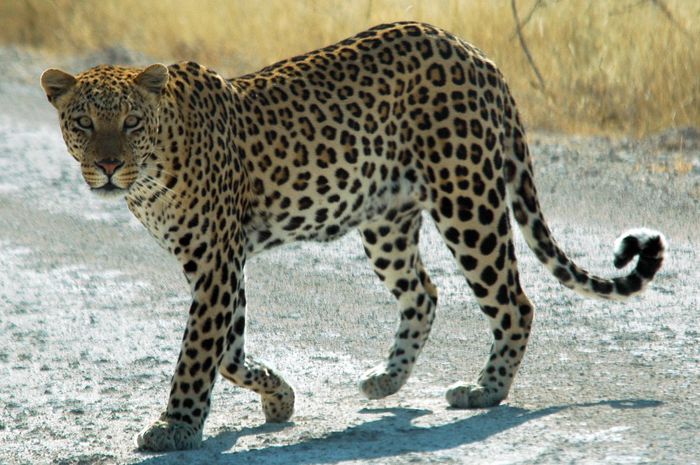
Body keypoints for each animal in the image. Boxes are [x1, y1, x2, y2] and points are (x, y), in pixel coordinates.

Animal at [41, 20, 664, 450]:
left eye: (130, 123)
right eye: (83, 123)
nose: (108, 167)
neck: (152, 171)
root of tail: (474, 51)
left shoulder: (216, 263)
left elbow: (198, 354)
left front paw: (175, 427)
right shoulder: (219, 264)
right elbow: (229, 351)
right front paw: (279, 396)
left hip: (468, 201)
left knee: (514, 300)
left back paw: (484, 391)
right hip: (385, 221)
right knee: (424, 293)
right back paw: (387, 380)